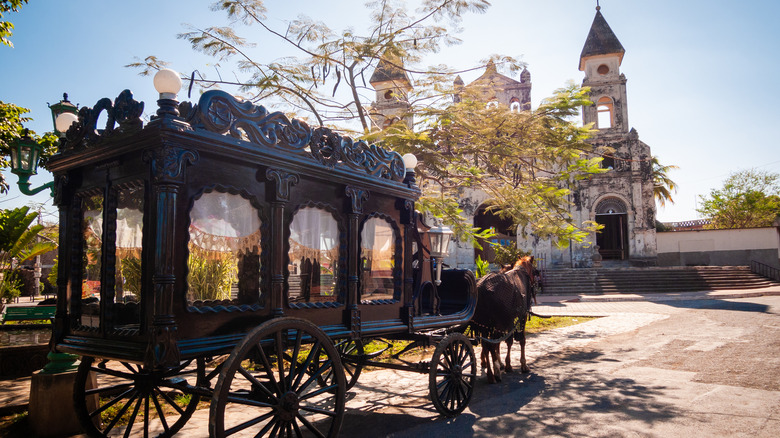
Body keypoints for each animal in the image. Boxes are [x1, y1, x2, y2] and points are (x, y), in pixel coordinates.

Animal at [466, 256, 532, 384]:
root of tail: (481, 288)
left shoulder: (508, 321)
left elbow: (505, 342)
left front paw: (504, 364)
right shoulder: (521, 317)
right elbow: (520, 340)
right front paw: (520, 365)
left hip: (484, 324)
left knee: (486, 345)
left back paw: (490, 374)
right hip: (495, 323)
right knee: (491, 345)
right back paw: (495, 372)